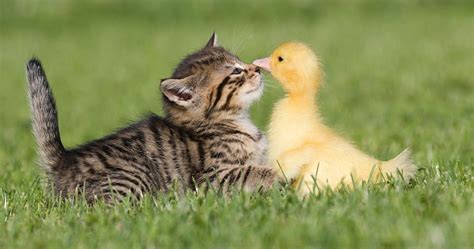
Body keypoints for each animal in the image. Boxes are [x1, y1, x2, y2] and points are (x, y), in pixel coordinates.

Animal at [26, 32, 278, 202]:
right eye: (236, 71)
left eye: (241, 60)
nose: (257, 68)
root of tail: (64, 161)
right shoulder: (212, 178)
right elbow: (256, 171)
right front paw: (281, 176)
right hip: (133, 177)